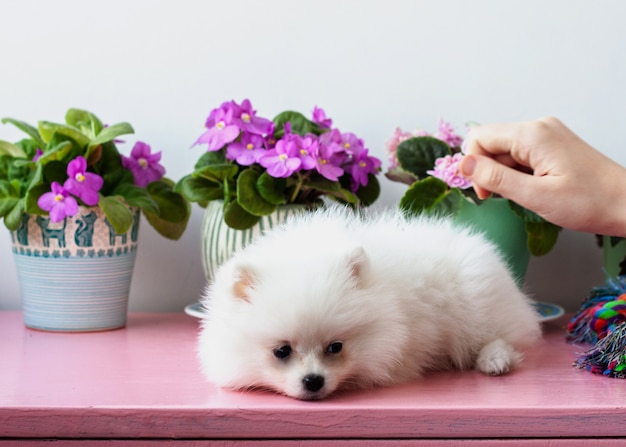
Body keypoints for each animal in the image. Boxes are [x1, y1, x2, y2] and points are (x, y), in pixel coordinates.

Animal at [197, 206, 540, 400]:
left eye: (335, 347)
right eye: (282, 351)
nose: (314, 381)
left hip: (478, 306)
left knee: (501, 338)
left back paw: (494, 360)